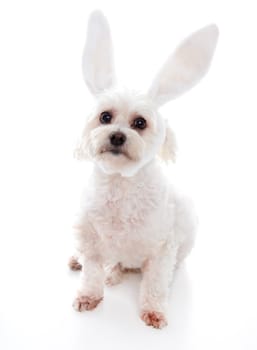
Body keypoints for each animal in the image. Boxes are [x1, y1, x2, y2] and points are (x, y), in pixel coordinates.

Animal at [70, 10, 218, 328]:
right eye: (105, 116)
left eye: (140, 123)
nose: (117, 136)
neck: (121, 184)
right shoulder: (91, 238)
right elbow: (91, 273)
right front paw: (88, 297)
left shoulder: (162, 248)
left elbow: (155, 284)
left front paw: (153, 311)